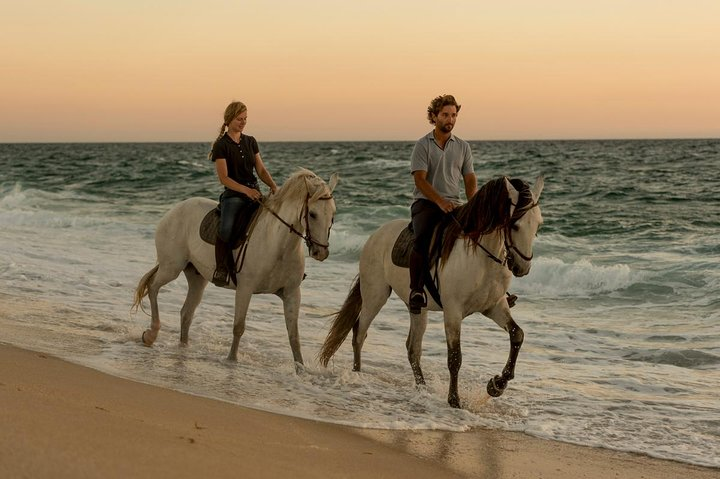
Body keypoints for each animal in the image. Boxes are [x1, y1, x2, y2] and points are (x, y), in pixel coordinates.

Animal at [134, 170, 338, 368]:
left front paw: (300, 369)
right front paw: (232, 360)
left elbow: (294, 336)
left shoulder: (291, 293)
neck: (278, 245)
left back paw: (183, 347)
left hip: (196, 278)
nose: (321, 252)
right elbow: (239, 326)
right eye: (312, 214)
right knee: (153, 287)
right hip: (171, 268)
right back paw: (151, 334)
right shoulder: (245, 289)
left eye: (333, 214)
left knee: (186, 313)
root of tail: (174, 210)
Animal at [318, 176, 544, 408]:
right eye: (515, 225)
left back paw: (422, 388)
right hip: (375, 296)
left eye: (538, 225)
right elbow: (455, 357)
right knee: (360, 333)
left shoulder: (494, 306)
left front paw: (497, 385)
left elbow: (517, 334)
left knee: (412, 348)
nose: (522, 268)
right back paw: (357, 374)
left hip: (417, 308)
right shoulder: (453, 312)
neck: (482, 259)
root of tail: (375, 234)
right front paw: (454, 400)